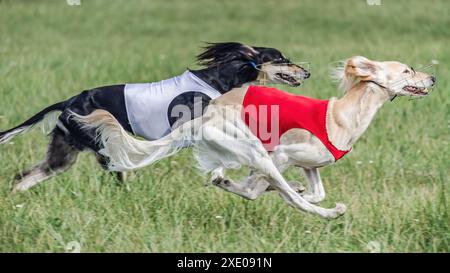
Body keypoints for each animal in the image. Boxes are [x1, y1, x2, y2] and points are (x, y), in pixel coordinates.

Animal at [0, 41, 310, 190]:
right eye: (281, 59)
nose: (307, 71)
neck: (221, 78)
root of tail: (69, 101)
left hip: (64, 155)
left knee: (24, 178)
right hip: (102, 145)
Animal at [74, 55, 436, 219]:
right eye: (406, 70)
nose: (432, 78)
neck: (342, 116)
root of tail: (204, 116)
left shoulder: (310, 164)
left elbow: (313, 189)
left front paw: (298, 187)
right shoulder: (283, 154)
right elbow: (275, 190)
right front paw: (285, 190)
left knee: (235, 182)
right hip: (251, 145)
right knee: (278, 196)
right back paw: (329, 213)